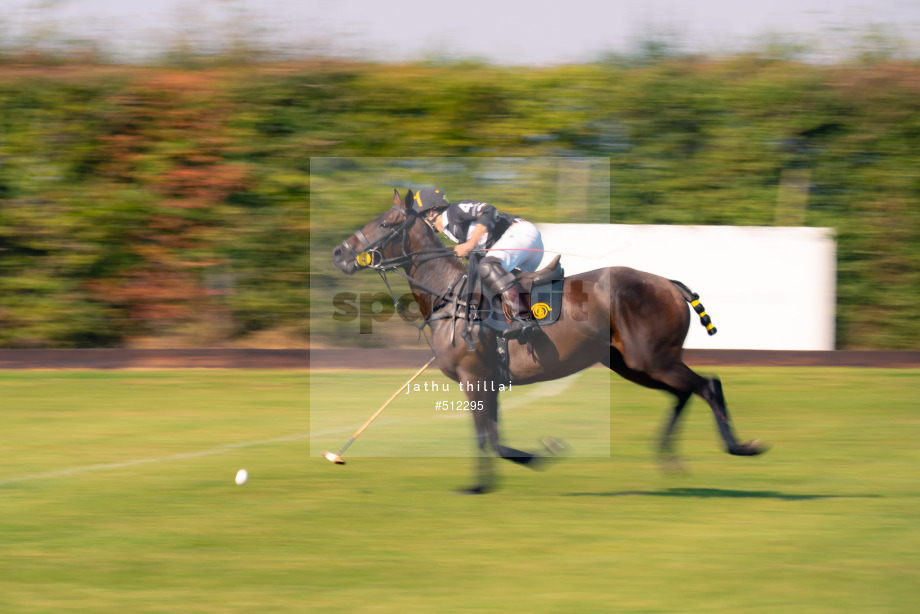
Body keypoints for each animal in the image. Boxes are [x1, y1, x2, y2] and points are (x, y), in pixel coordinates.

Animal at [334, 190, 764, 494]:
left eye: (385, 223)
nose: (339, 253)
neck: (449, 295)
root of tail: (670, 285)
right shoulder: (488, 380)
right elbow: (493, 435)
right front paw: (514, 467)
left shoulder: (475, 378)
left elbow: (488, 437)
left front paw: (527, 460)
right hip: (631, 364)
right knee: (685, 390)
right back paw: (670, 459)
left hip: (651, 359)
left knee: (707, 385)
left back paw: (739, 446)